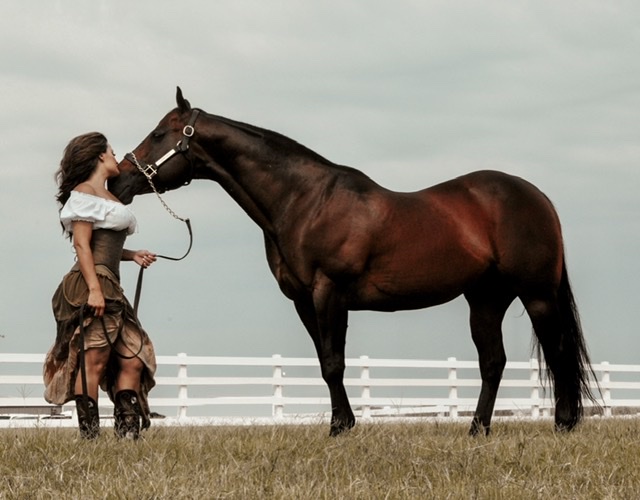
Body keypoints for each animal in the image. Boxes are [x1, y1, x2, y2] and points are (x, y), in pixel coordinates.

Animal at [109, 87, 597, 436]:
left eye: (159, 134)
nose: (118, 180)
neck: (304, 201)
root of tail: (537, 197)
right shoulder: (303, 300)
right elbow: (326, 361)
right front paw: (342, 422)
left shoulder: (330, 292)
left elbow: (333, 362)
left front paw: (339, 428)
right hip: (485, 299)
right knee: (493, 362)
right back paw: (477, 429)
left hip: (536, 294)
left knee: (557, 351)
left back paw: (564, 423)